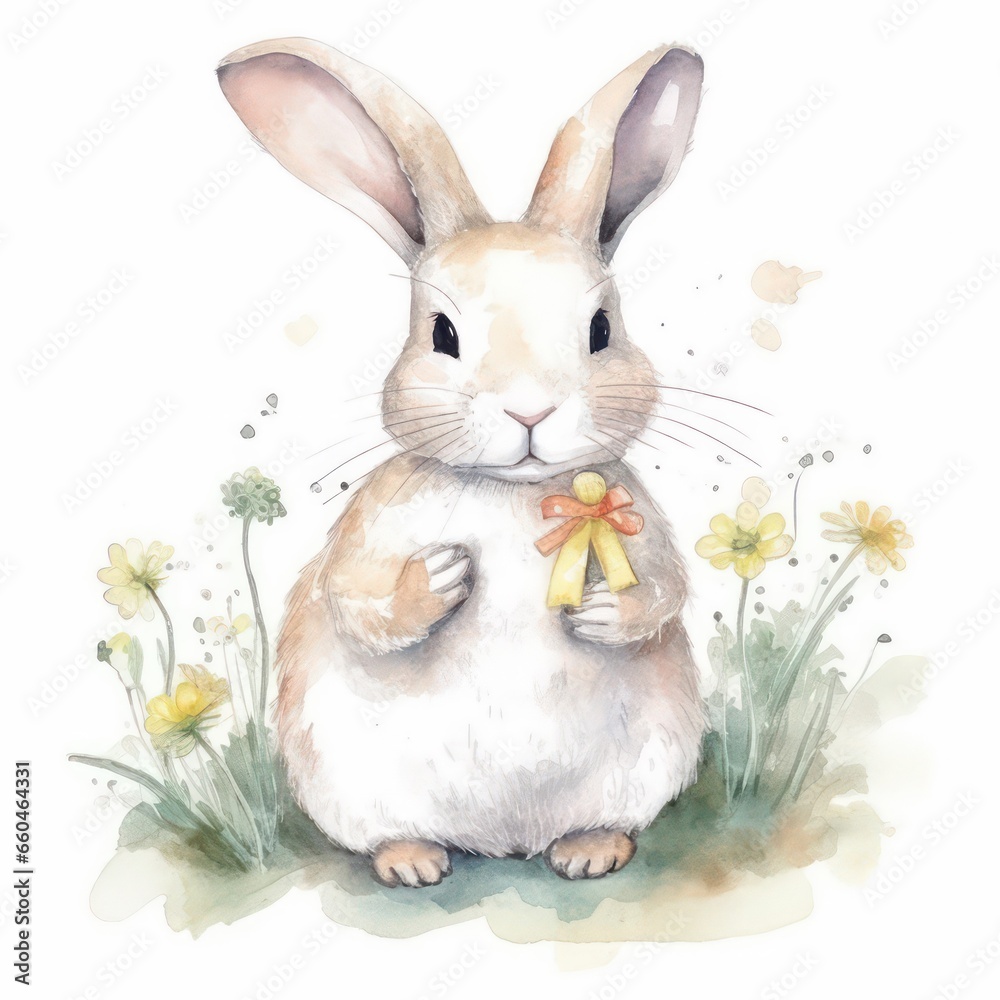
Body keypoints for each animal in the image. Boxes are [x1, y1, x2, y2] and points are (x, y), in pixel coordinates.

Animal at [217, 37, 707, 887]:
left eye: (601, 329)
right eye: (442, 333)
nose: (529, 411)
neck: (514, 494)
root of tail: (506, 841)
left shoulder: (638, 523)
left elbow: (663, 593)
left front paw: (598, 611)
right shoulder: (370, 532)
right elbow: (359, 601)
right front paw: (442, 578)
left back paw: (588, 851)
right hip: (349, 783)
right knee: (389, 832)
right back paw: (414, 862)